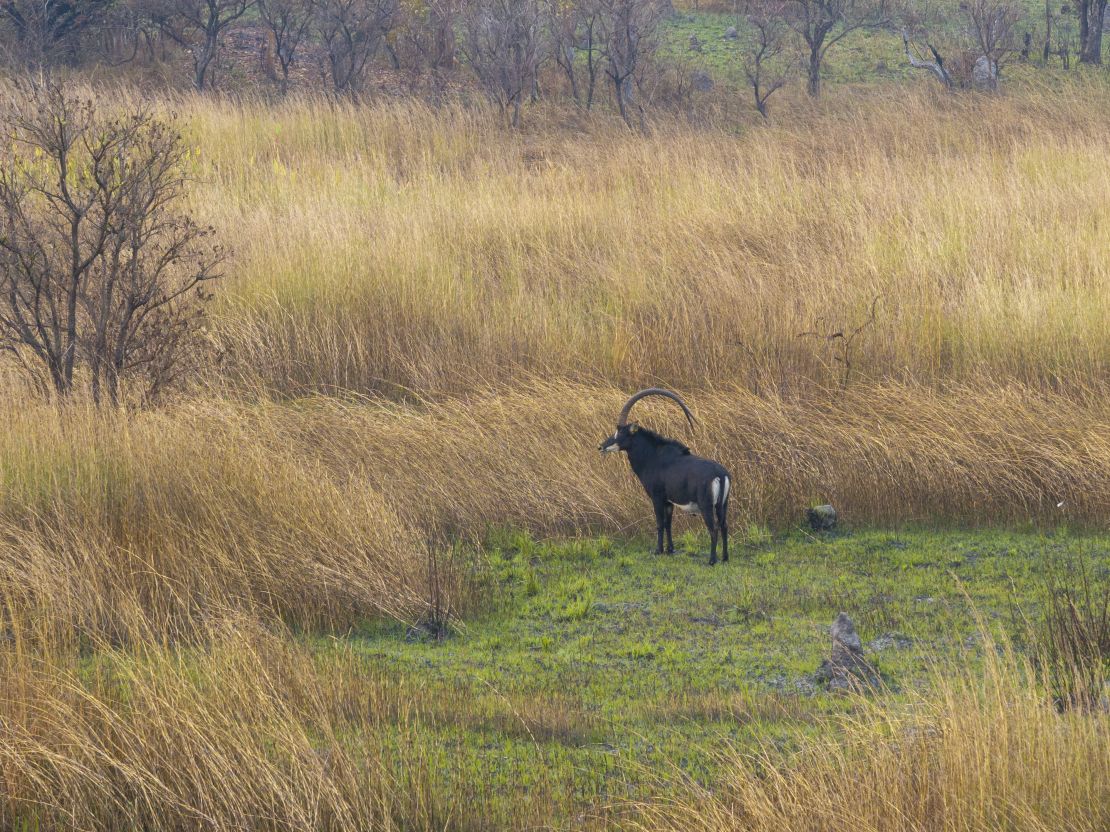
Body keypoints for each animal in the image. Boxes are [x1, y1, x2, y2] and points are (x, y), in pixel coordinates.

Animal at [599, 390, 728, 567]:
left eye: (621, 432)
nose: (601, 446)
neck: (653, 456)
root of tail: (720, 474)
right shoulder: (669, 502)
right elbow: (668, 524)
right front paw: (670, 550)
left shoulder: (657, 498)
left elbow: (660, 523)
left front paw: (658, 550)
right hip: (722, 505)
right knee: (724, 526)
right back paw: (725, 558)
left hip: (706, 506)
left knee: (713, 528)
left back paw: (712, 560)